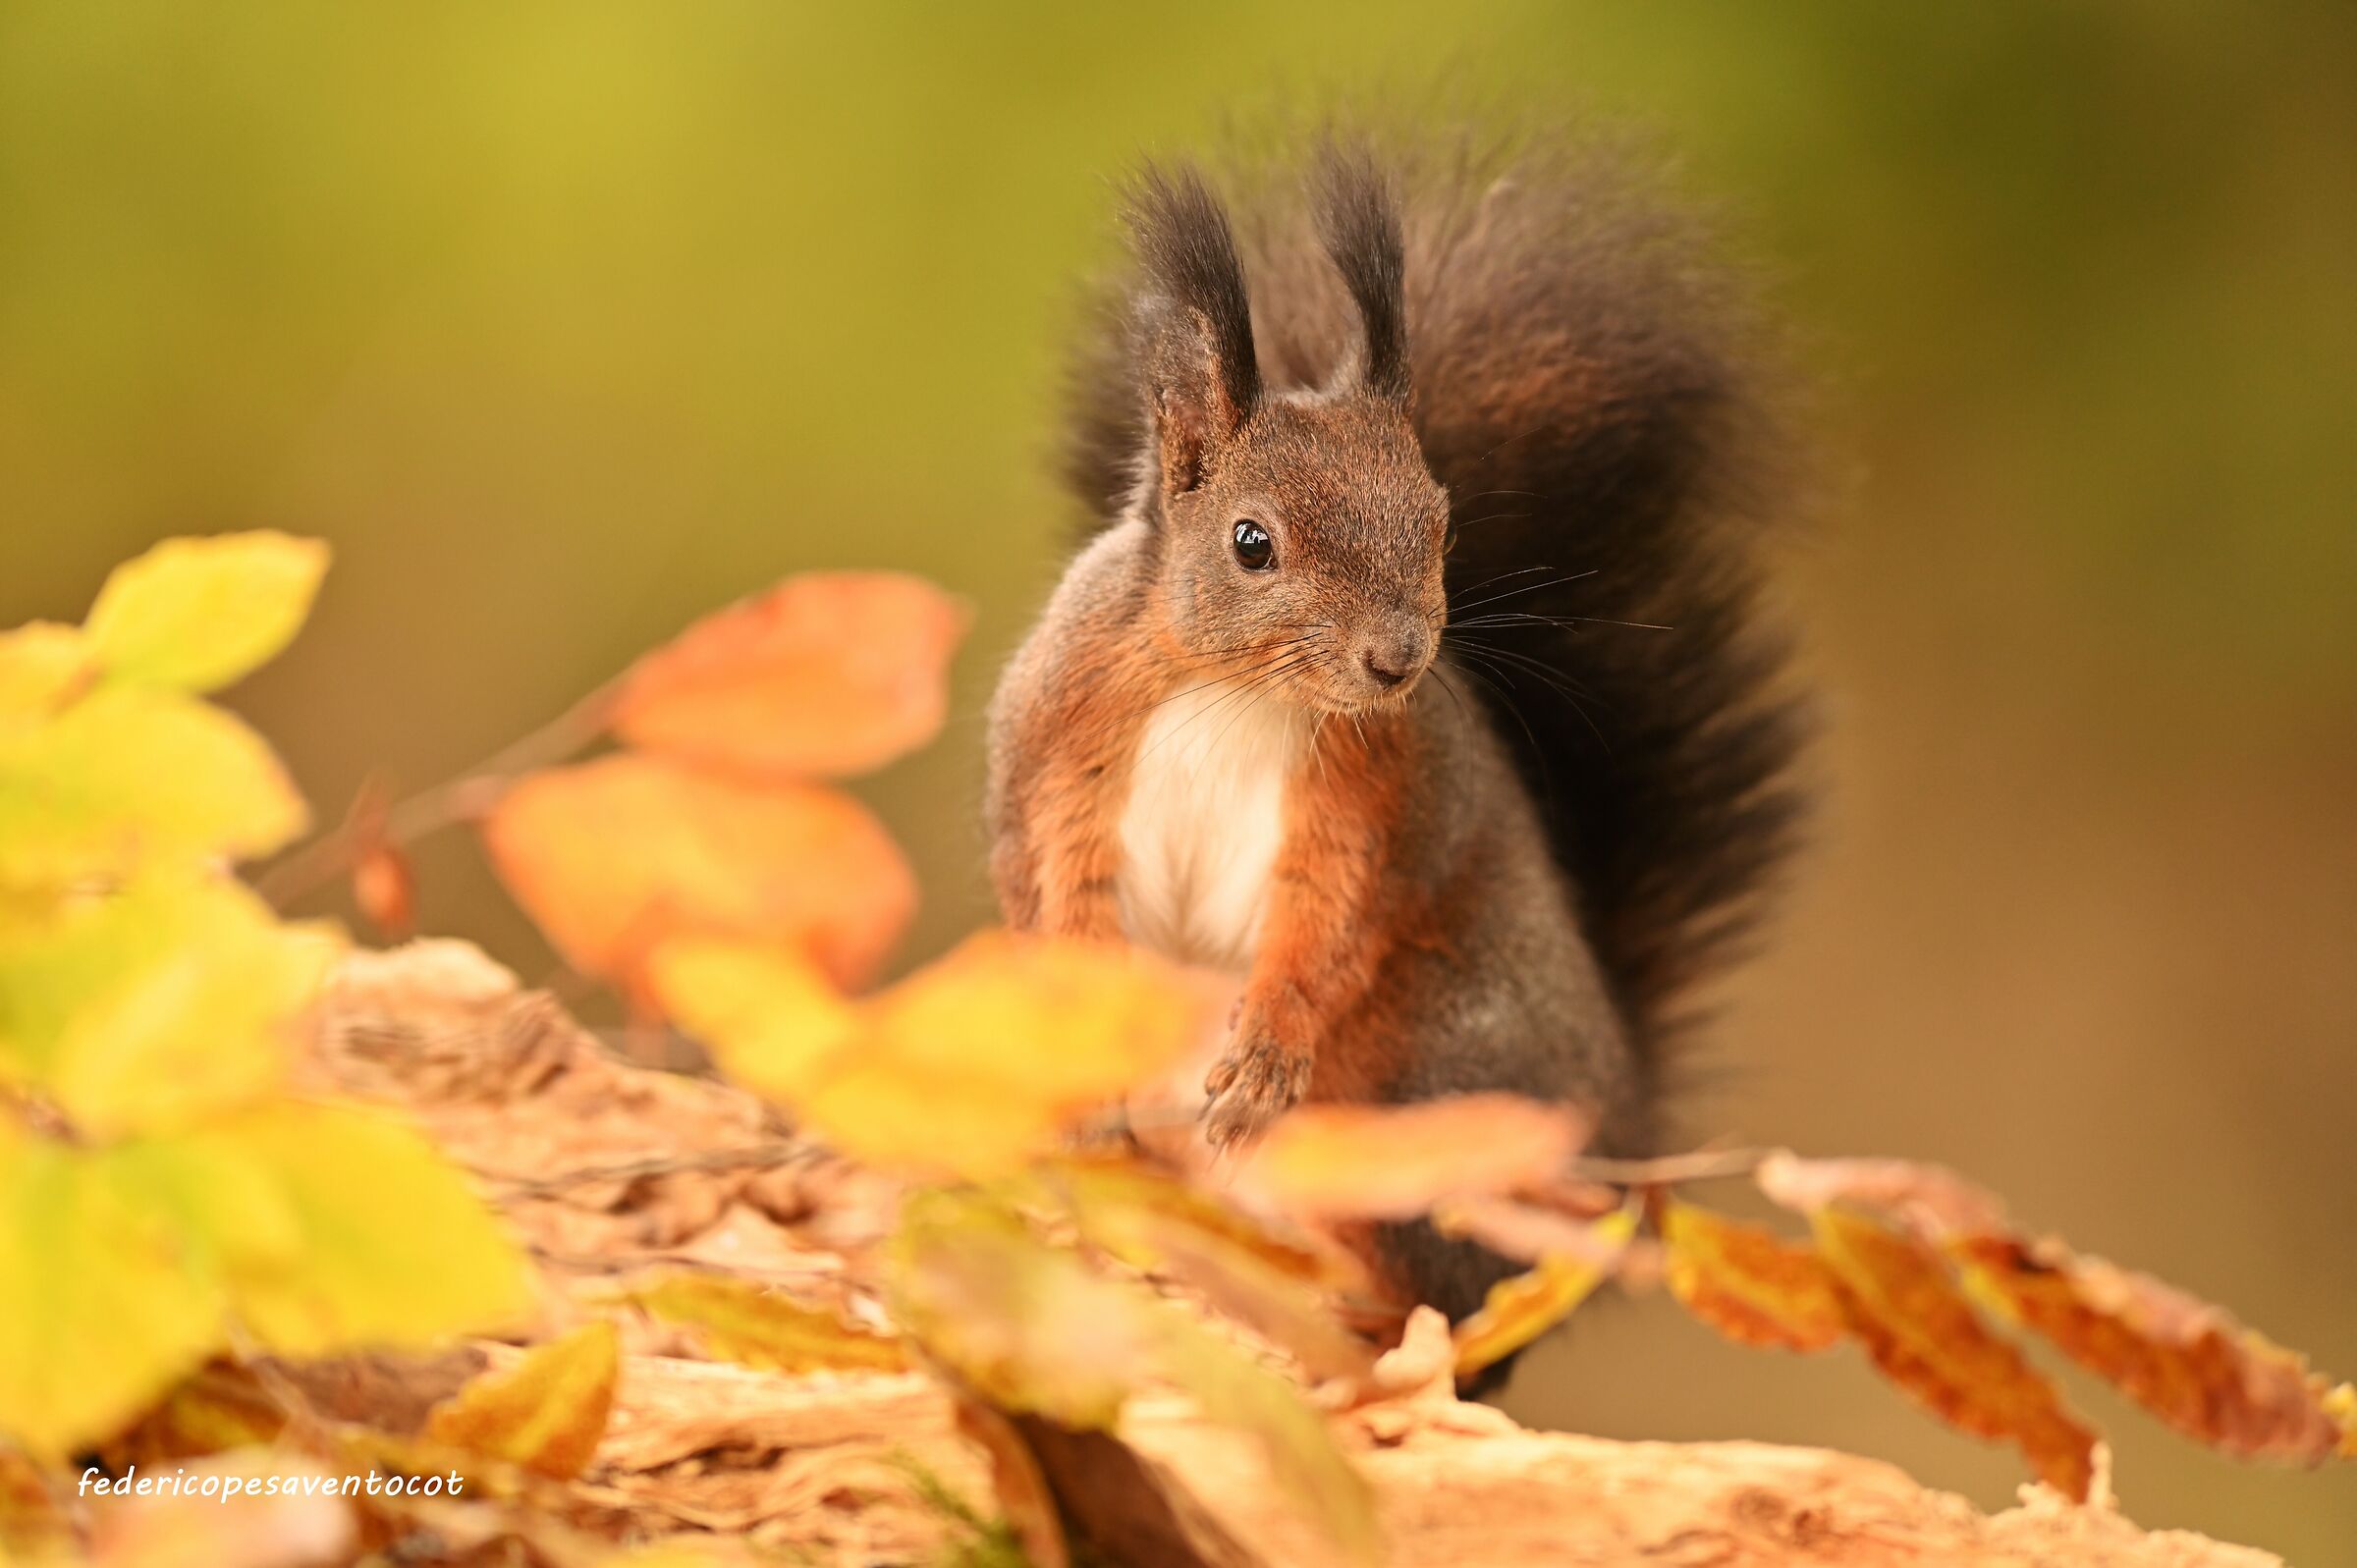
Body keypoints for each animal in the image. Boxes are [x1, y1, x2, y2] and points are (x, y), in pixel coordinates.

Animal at [985, 130, 1807, 1331]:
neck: (1239, 693)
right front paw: (1081, 1062)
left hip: (1429, 1092)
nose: (1397, 659)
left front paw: (1267, 1054)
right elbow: (1059, 896)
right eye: (1251, 541)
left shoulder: (1376, 795)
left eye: (1442, 520)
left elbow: (1327, 920)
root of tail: (1619, 1157)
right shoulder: (1065, 757)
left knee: (1439, 1305)